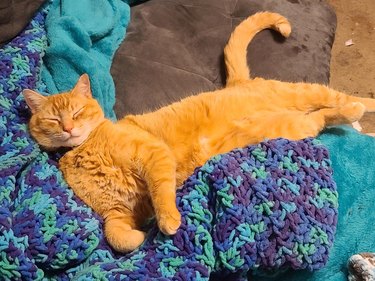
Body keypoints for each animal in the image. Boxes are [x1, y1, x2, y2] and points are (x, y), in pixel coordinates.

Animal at [22, 12, 375, 252]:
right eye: (54, 120)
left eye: (77, 113)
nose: (69, 128)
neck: (86, 152)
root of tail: (237, 84)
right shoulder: (117, 213)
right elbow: (118, 237)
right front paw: (141, 236)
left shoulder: (153, 156)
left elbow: (162, 194)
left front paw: (167, 221)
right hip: (294, 126)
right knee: (324, 117)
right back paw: (350, 115)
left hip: (298, 95)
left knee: (335, 97)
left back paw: (362, 107)